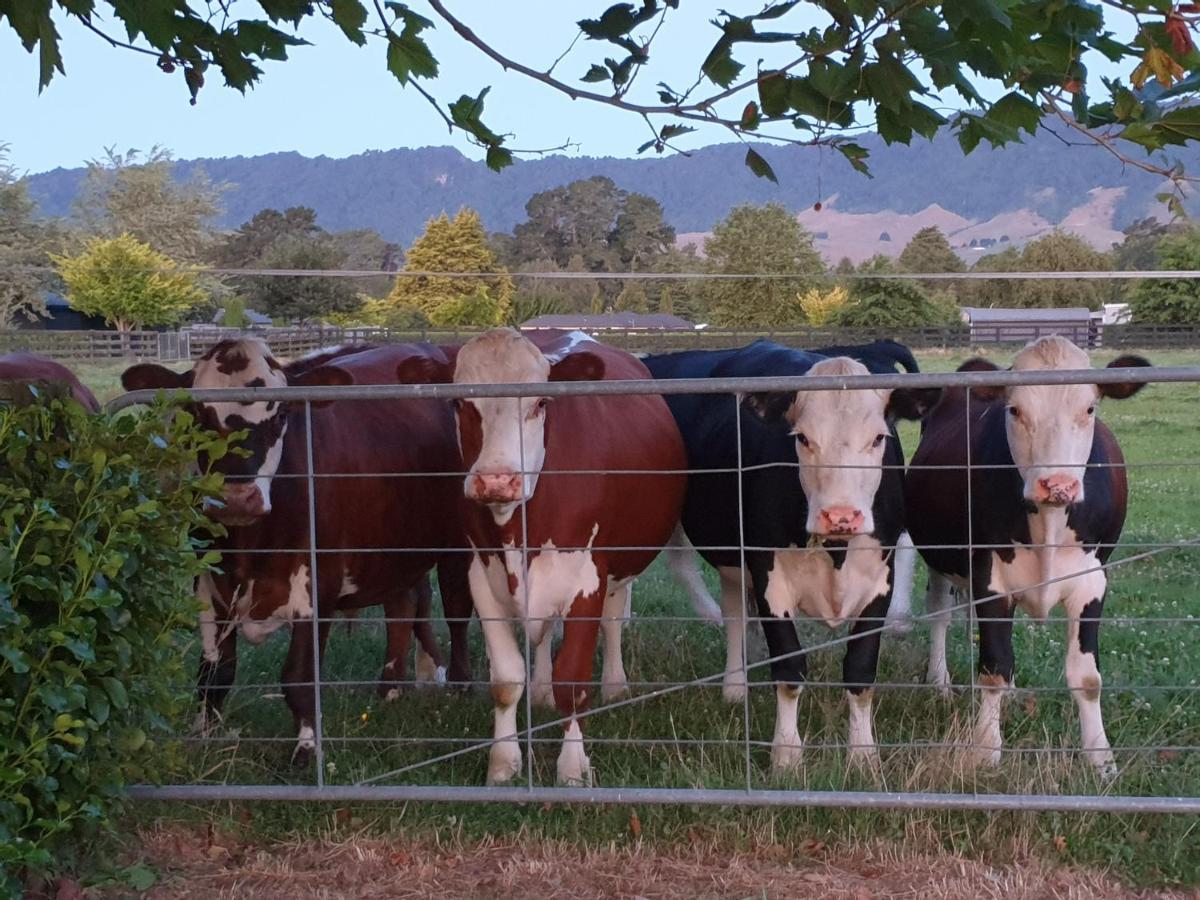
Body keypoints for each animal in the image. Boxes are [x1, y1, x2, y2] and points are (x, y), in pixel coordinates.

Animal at [396, 328, 686, 787]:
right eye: (459, 402)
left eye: (540, 403)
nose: (497, 479)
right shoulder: (483, 576)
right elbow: (505, 679)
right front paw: (503, 763)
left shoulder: (588, 578)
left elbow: (574, 681)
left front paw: (571, 767)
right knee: (545, 633)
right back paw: (542, 689)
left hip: (620, 567)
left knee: (613, 620)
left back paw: (614, 685)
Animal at [648, 340, 936, 772]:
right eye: (802, 438)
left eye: (878, 439)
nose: (841, 515)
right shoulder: (769, 575)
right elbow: (788, 666)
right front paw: (786, 753)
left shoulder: (878, 582)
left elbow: (860, 669)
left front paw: (863, 755)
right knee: (724, 605)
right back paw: (733, 686)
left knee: (734, 606)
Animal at [907, 338, 1152, 782]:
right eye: (1014, 410)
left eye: (1089, 408)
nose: (1057, 484)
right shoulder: (990, 581)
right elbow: (993, 667)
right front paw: (986, 750)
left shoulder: (1093, 582)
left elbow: (1087, 677)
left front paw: (1101, 759)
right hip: (940, 559)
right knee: (939, 613)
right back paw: (939, 682)